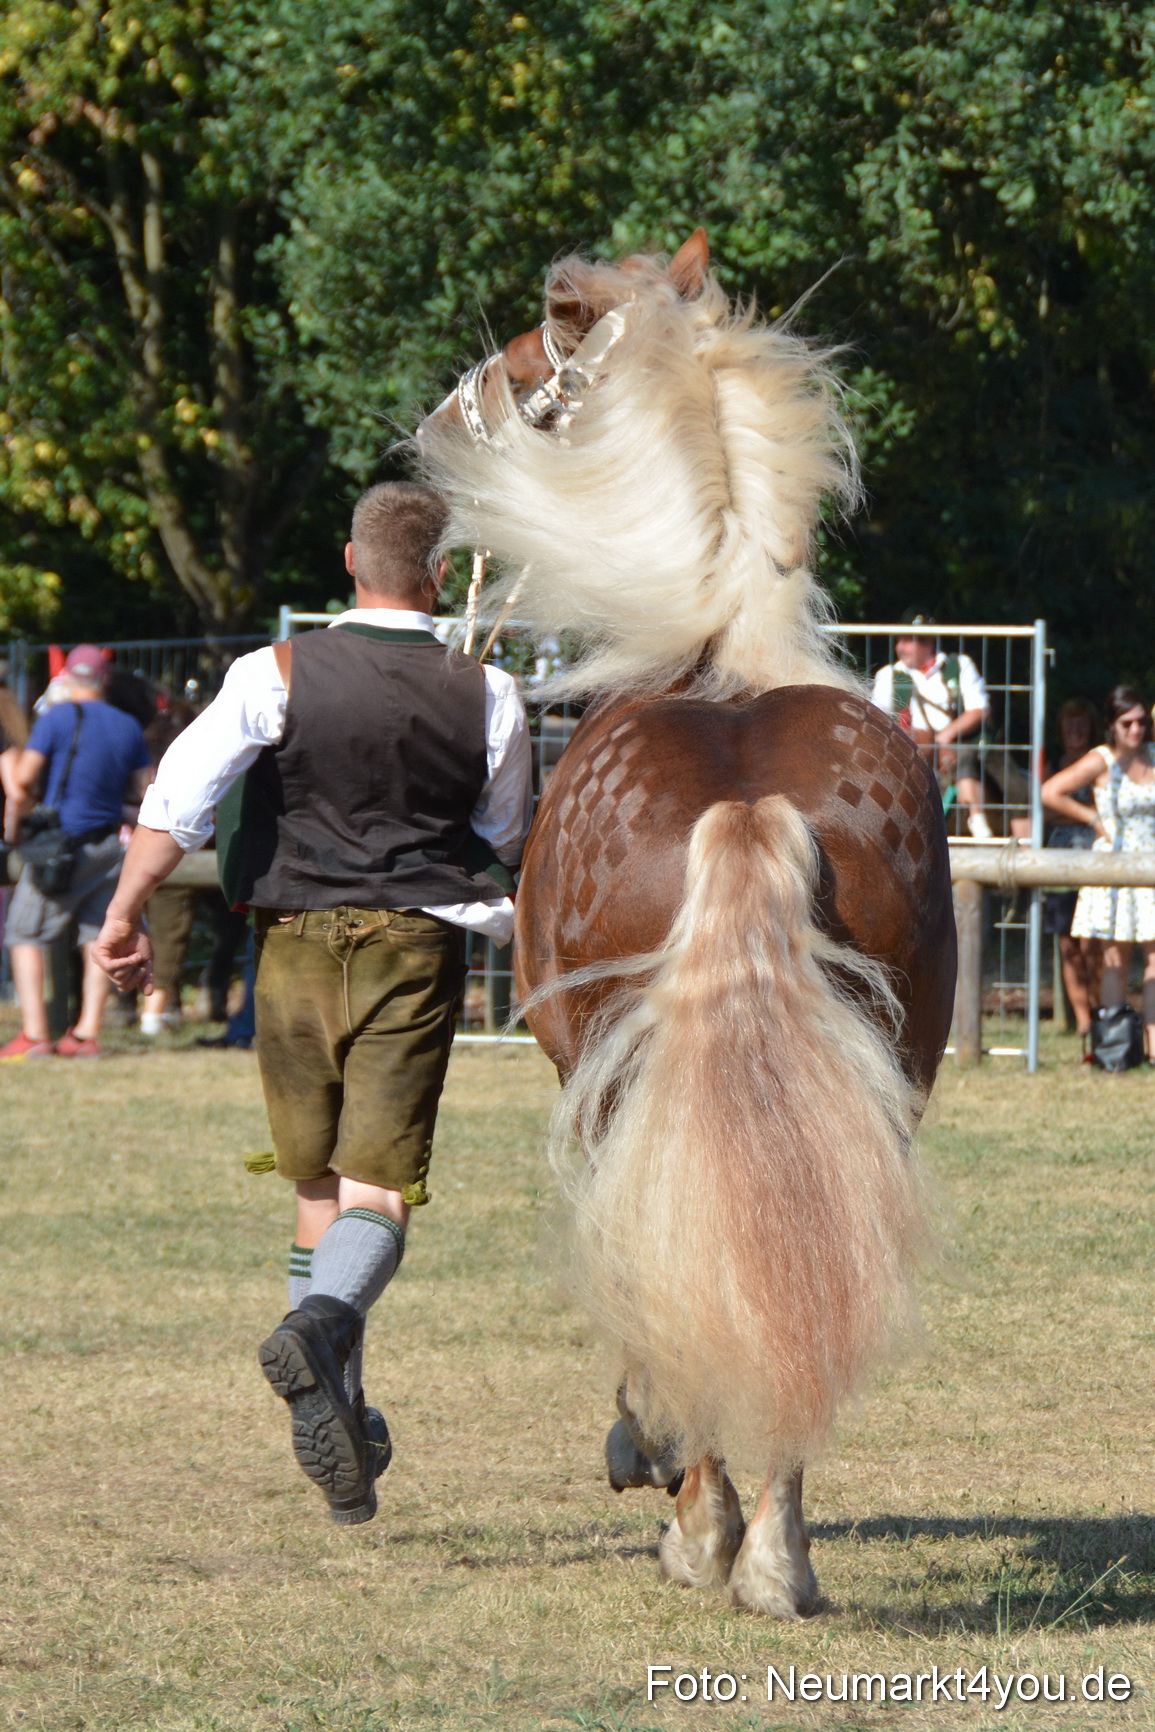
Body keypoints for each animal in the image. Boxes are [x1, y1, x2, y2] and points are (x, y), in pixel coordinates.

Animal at [418, 231, 955, 1617]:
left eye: (527, 362)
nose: (438, 427)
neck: (716, 655)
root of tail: (747, 804)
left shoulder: (586, 1074)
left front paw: (648, 1459)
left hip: (628, 1073)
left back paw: (710, 1529)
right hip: (883, 1073)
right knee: (806, 1273)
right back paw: (778, 1553)